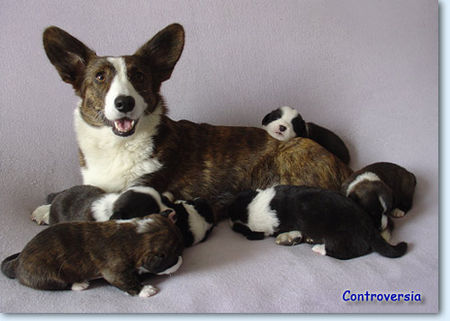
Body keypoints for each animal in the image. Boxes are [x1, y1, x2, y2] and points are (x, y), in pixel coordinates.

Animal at [1, 214, 184, 296]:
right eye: (174, 255)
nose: (181, 260)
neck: (136, 235)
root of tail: (18, 261)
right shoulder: (115, 271)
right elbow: (127, 282)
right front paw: (144, 290)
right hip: (45, 274)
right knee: (58, 284)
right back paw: (78, 284)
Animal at [229, 185, 408, 260]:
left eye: (240, 229)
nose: (230, 223)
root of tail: (370, 229)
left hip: (340, 237)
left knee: (347, 252)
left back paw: (319, 248)